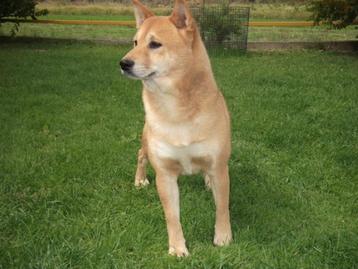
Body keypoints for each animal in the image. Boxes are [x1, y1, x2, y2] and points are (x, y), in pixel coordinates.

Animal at [120, 0, 232, 255]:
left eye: (155, 44)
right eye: (135, 42)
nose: (123, 63)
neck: (176, 109)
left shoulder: (220, 167)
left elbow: (222, 207)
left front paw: (223, 237)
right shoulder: (165, 174)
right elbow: (172, 216)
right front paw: (177, 248)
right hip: (146, 142)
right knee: (140, 155)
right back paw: (140, 179)